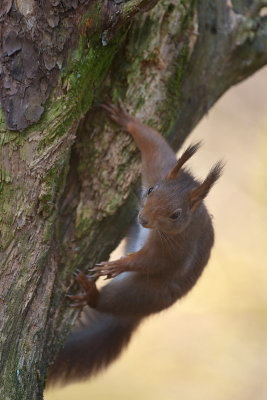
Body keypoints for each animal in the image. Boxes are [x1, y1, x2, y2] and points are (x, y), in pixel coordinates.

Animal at [48, 98, 224, 386]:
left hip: (140, 294)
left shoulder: (175, 248)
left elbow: (152, 262)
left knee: (109, 300)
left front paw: (118, 266)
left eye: (175, 215)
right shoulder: (159, 168)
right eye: (151, 190)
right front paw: (126, 119)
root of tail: (138, 315)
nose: (143, 218)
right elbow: (154, 144)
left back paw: (91, 292)